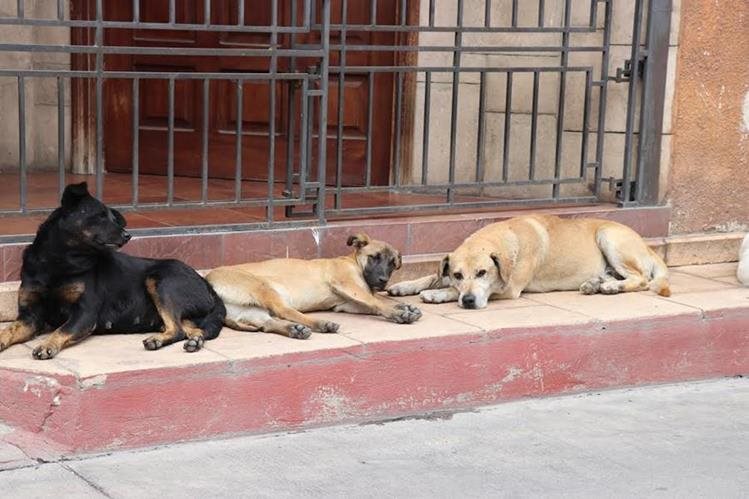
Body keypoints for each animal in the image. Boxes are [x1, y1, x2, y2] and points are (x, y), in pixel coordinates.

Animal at [0, 184, 225, 360]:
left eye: (114, 219)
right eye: (100, 217)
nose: (127, 235)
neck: (59, 261)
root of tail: (207, 285)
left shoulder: (85, 313)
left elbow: (61, 329)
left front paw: (47, 344)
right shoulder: (30, 317)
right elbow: (8, 329)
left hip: (161, 279)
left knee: (177, 329)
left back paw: (160, 340)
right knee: (191, 329)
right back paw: (194, 340)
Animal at [205, 234, 420, 340]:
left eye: (393, 263)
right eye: (374, 257)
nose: (383, 280)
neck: (354, 263)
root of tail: (209, 281)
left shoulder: (345, 304)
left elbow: (375, 303)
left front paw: (405, 307)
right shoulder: (347, 284)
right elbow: (375, 302)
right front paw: (398, 312)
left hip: (248, 309)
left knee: (267, 323)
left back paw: (295, 330)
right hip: (263, 287)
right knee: (285, 311)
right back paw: (320, 323)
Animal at [388, 214, 668, 308]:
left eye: (482, 273)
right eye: (458, 275)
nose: (468, 301)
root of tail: (647, 246)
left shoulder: (509, 289)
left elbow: (448, 289)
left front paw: (436, 295)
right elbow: (431, 276)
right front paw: (403, 286)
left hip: (608, 237)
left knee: (641, 279)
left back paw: (610, 287)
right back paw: (595, 284)